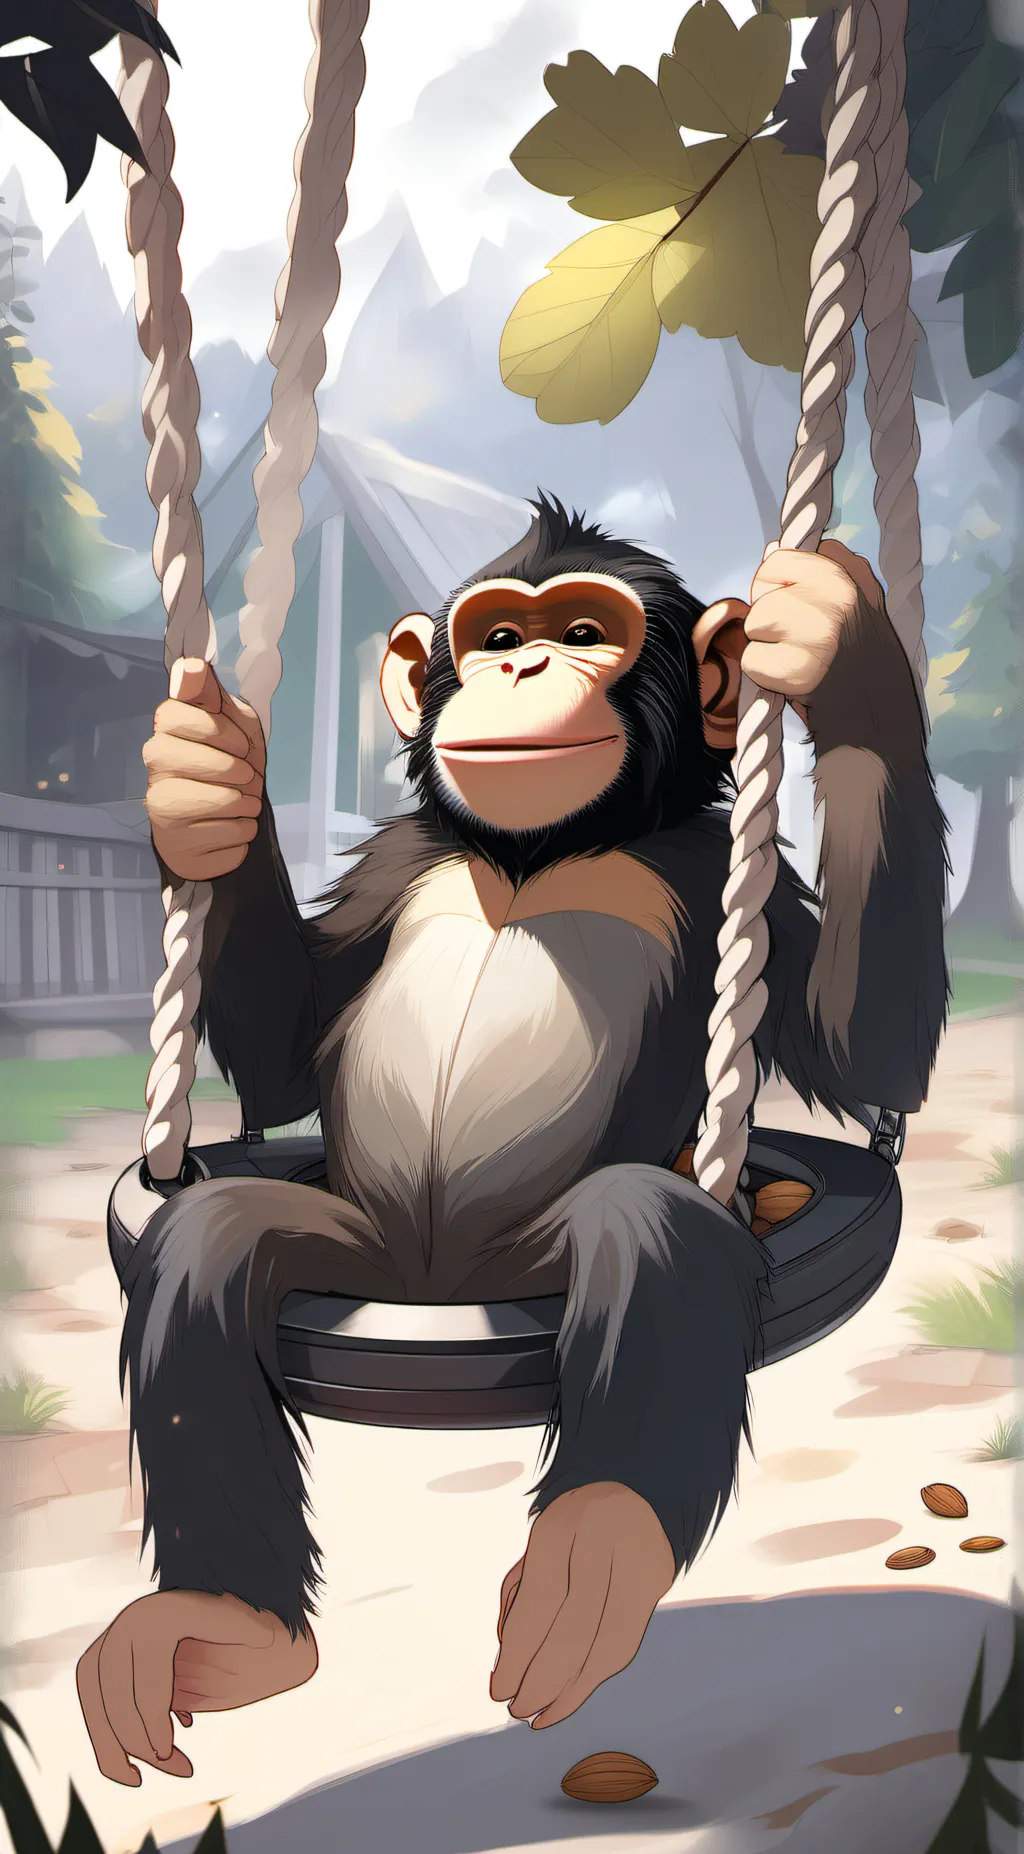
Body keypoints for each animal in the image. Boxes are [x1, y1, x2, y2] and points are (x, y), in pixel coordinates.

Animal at [77, 496, 948, 1785]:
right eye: (493, 637)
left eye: (585, 632)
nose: (525, 667)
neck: (532, 856)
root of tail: (438, 1288)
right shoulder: (398, 862)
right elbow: (283, 1055)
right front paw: (199, 781)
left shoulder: (728, 881)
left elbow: (861, 1051)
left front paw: (840, 644)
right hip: (364, 1255)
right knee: (212, 1232)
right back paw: (220, 1627)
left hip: (522, 1268)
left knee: (650, 1228)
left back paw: (597, 1554)